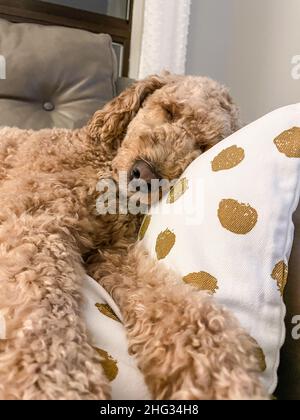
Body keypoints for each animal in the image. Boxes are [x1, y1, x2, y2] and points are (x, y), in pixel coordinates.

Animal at [0, 74, 268, 398]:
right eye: (169, 110)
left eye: (204, 145)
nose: (145, 174)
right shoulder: (36, 222)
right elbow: (43, 312)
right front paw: (56, 384)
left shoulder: (115, 253)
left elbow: (182, 308)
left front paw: (224, 379)